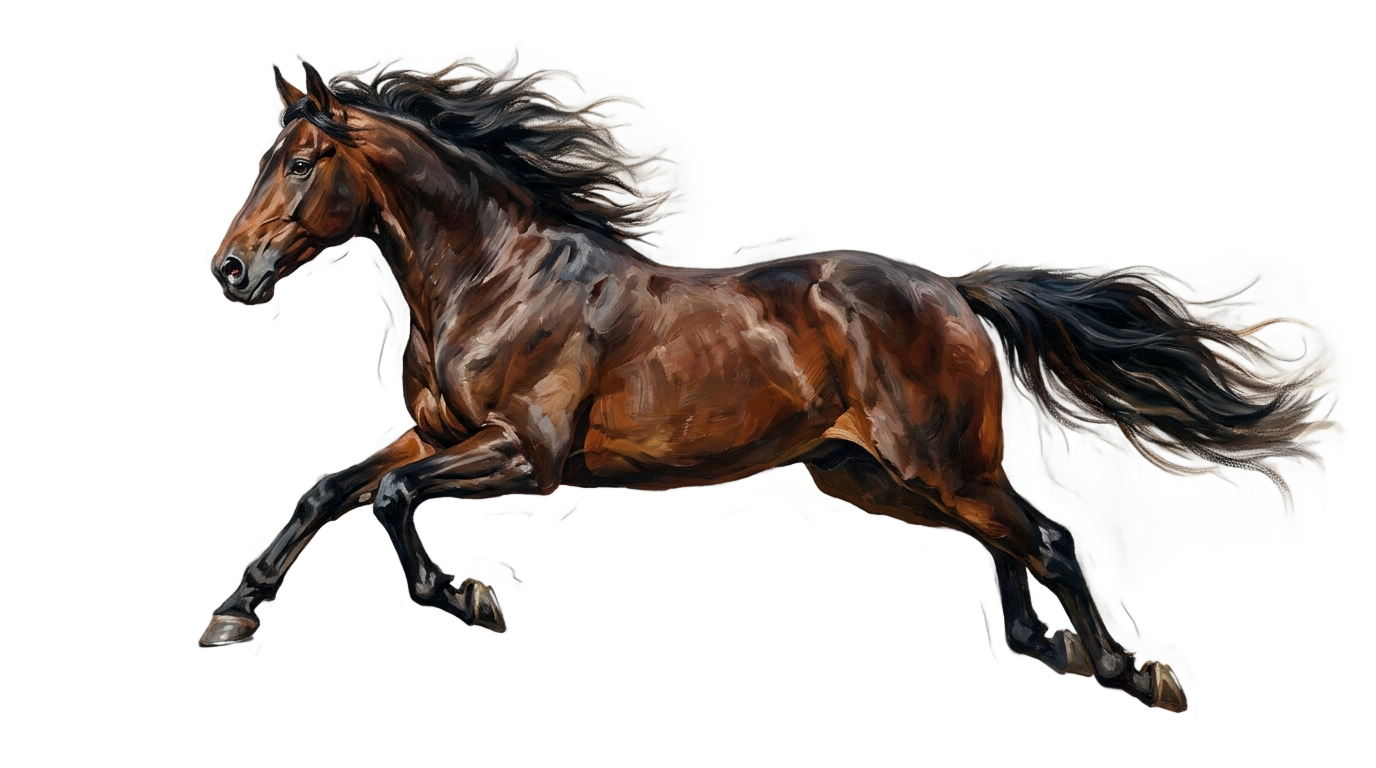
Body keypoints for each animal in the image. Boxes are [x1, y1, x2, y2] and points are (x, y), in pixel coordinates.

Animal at [200, 60, 1320, 712]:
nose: (231, 273)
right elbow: (329, 488)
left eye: (299, 161)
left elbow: (390, 501)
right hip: (885, 473)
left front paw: (463, 598)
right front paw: (236, 610)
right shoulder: (435, 437)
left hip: (937, 464)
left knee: (1043, 538)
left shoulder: (527, 455)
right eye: (264, 158)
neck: (493, 280)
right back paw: (1031, 646)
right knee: (1003, 541)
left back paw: (1122, 669)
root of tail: (953, 291)